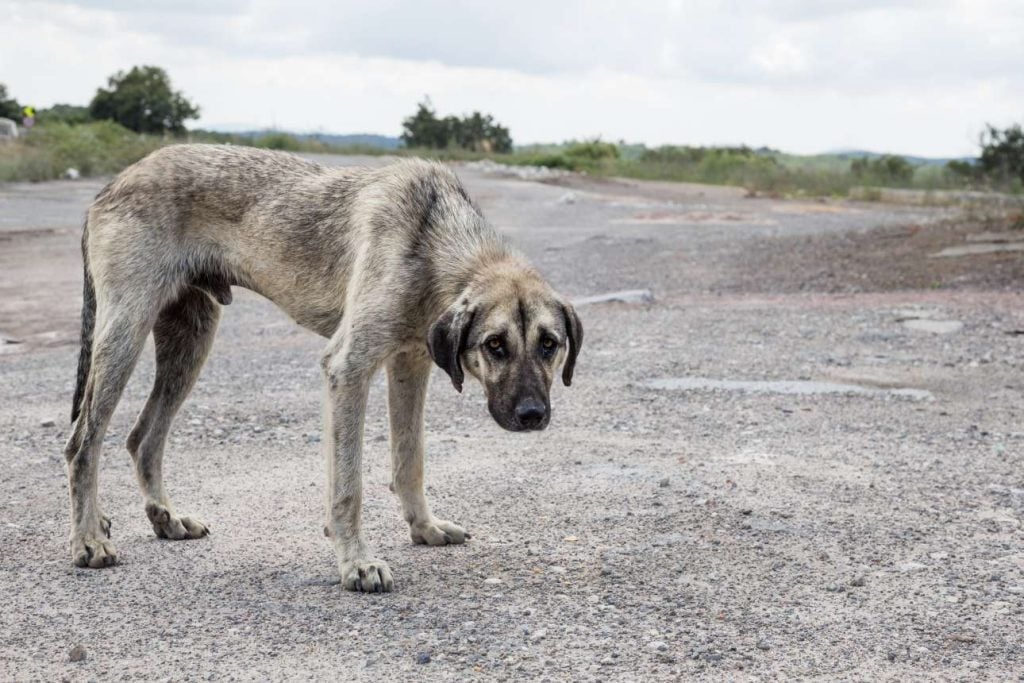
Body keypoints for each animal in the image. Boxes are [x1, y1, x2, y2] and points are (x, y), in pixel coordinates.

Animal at [64, 144, 585, 593]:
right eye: (495, 345)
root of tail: (112, 184)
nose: (532, 416)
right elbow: (348, 485)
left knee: (143, 437)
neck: (433, 239)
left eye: (550, 345)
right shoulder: (348, 370)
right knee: (82, 443)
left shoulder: (409, 364)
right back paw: (88, 539)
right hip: (125, 335)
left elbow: (410, 460)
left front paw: (424, 527)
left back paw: (165, 518)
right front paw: (356, 561)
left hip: (189, 342)